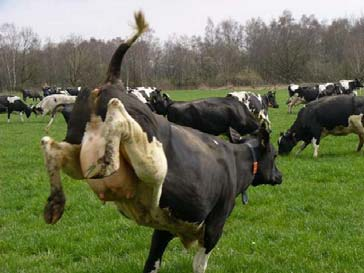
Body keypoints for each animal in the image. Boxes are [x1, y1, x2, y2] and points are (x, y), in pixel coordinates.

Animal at [41, 12, 282, 272]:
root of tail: (114, 83)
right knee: (118, 120)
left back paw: (55, 204)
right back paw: (106, 160)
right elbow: (199, 265)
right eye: (275, 155)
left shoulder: (164, 229)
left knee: (50, 147)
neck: (237, 161)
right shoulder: (214, 228)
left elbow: (152, 263)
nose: (280, 176)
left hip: (77, 148)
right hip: (150, 162)